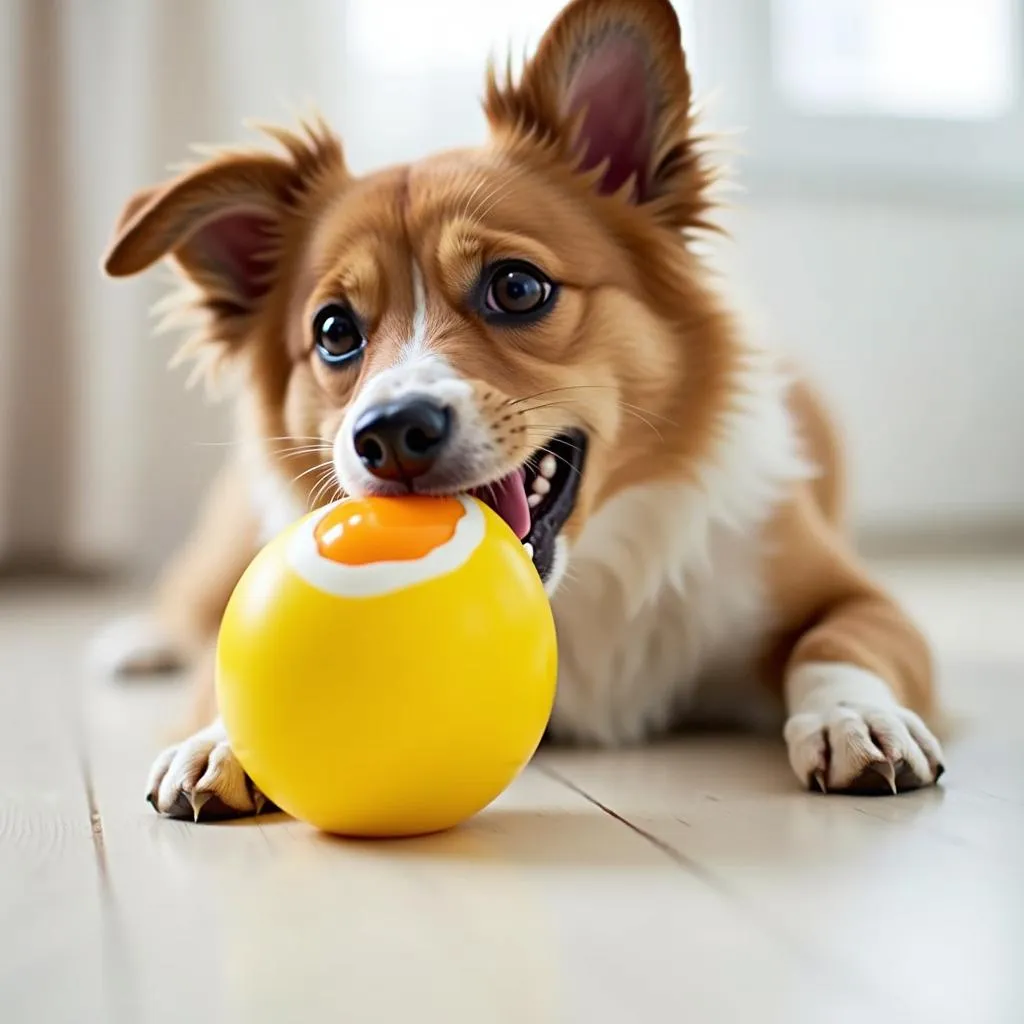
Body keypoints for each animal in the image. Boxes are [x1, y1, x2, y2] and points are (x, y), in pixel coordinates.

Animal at [96, 0, 942, 819]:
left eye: (517, 286)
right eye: (334, 332)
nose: (391, 433)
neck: (580, 581)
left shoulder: (852, 594)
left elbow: (839, 644)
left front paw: (856, 717)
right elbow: (224, 670)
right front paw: (220, 740)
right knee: (188, 601)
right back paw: (135, 642)